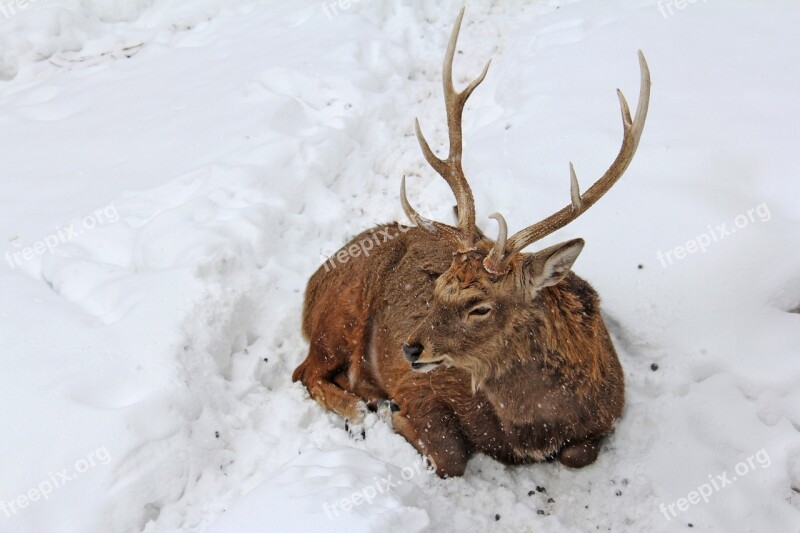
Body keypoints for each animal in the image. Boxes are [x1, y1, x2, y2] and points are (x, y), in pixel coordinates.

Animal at [294, 6, 648, 476]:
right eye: (438, 286)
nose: (408, 347)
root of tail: (313, 281)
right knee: (304, 371)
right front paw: (394, 415)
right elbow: (451, 454)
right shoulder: (424, 387)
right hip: (339, 316)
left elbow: (577, 454)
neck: (535, 427)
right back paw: (360, 409)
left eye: (480, 306)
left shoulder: (610, 413)